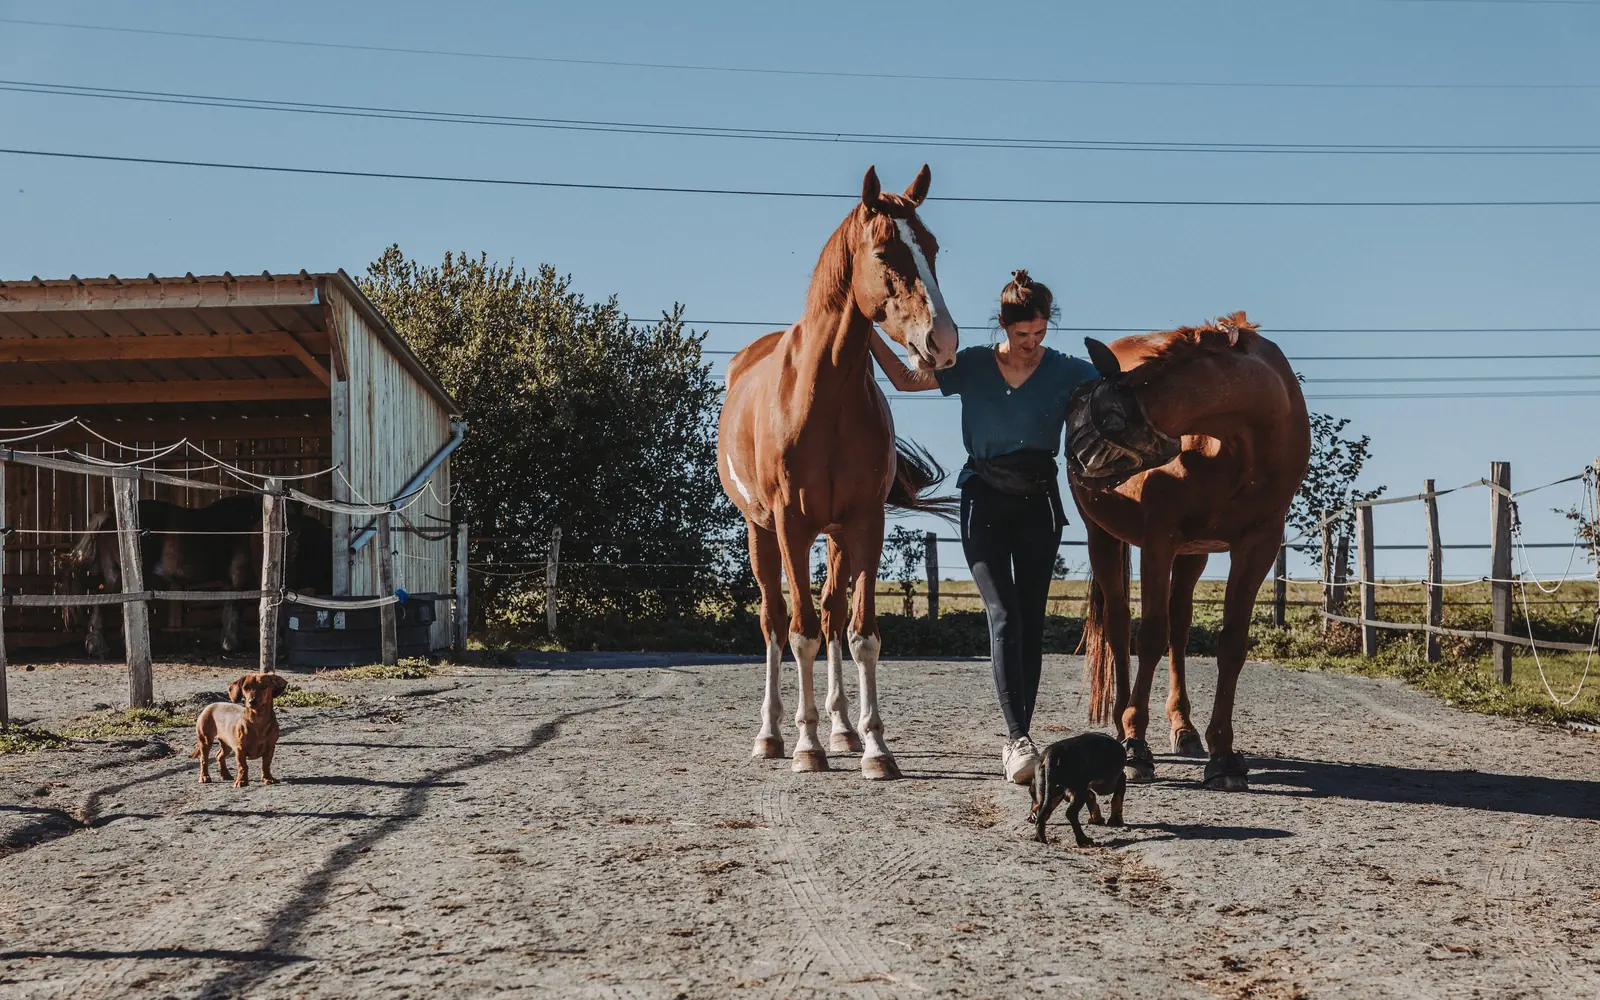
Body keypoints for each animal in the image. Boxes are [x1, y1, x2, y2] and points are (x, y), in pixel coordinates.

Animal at [66, 494, 333, 657]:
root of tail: (109, 516)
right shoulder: (239, 576)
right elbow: (235, 606)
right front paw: (231, 643)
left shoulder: (230, 579)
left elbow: (228, 608)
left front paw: (228, 641)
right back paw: (99, 645)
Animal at [717, 164, 958, 780]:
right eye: (885, 252)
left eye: (932, 249)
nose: (942, 342)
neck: (822, 396)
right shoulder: (790, 525)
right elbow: (798, 632)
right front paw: (806, 746)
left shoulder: (864, 523)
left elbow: (861, 633)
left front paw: (873, 747)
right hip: (761, 532)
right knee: (775, 621)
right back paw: (771, 735)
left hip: (837, 536)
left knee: (830, 617)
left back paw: (843, 730)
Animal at [1065, 312, 1310, 791]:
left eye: (1112, 418)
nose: (1075, 456)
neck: (1240, 442)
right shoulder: (1159, 537)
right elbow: (1148, 635)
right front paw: (1136, 746)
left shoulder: (1258, 544)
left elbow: (1231, 643)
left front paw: (1223, 755)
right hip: (1102, 534)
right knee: (1121, 624)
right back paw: (1121, 726)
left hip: (1194, 552)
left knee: (1178, 626)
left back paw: (1184, 728)